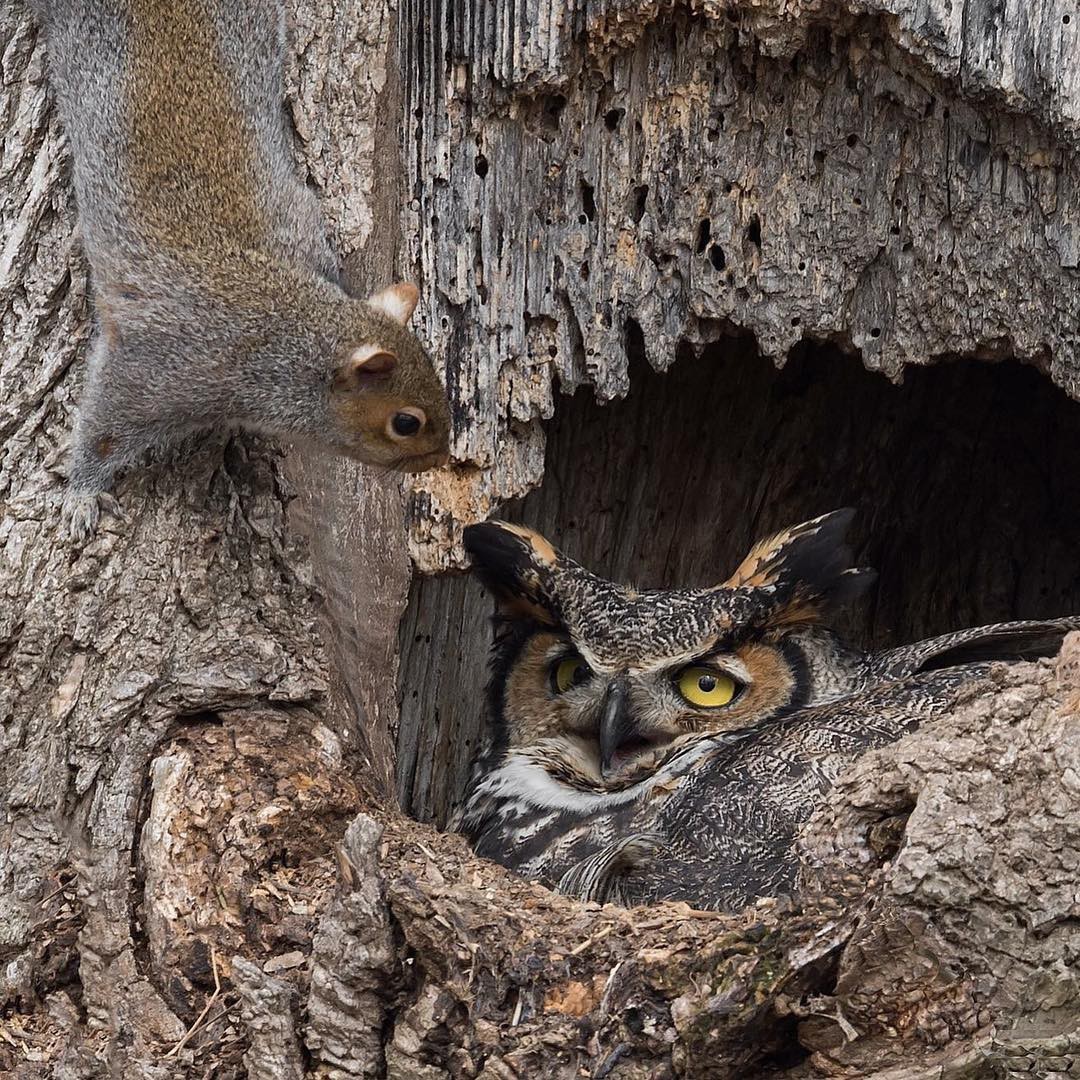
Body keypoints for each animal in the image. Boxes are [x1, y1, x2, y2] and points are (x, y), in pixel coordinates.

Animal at [31, 0, 449, 540]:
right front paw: (81, 495)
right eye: (406, 423)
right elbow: (105, 426)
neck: (284, 334)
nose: (440, 459)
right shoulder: (168, 369)